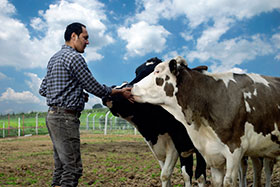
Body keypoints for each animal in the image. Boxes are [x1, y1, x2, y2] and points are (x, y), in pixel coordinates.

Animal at [132, 56, 280, 186]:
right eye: (137, 71)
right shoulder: (212, 154)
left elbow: (227, 181)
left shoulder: (235, 150)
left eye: (157, 71)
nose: (132, 87)